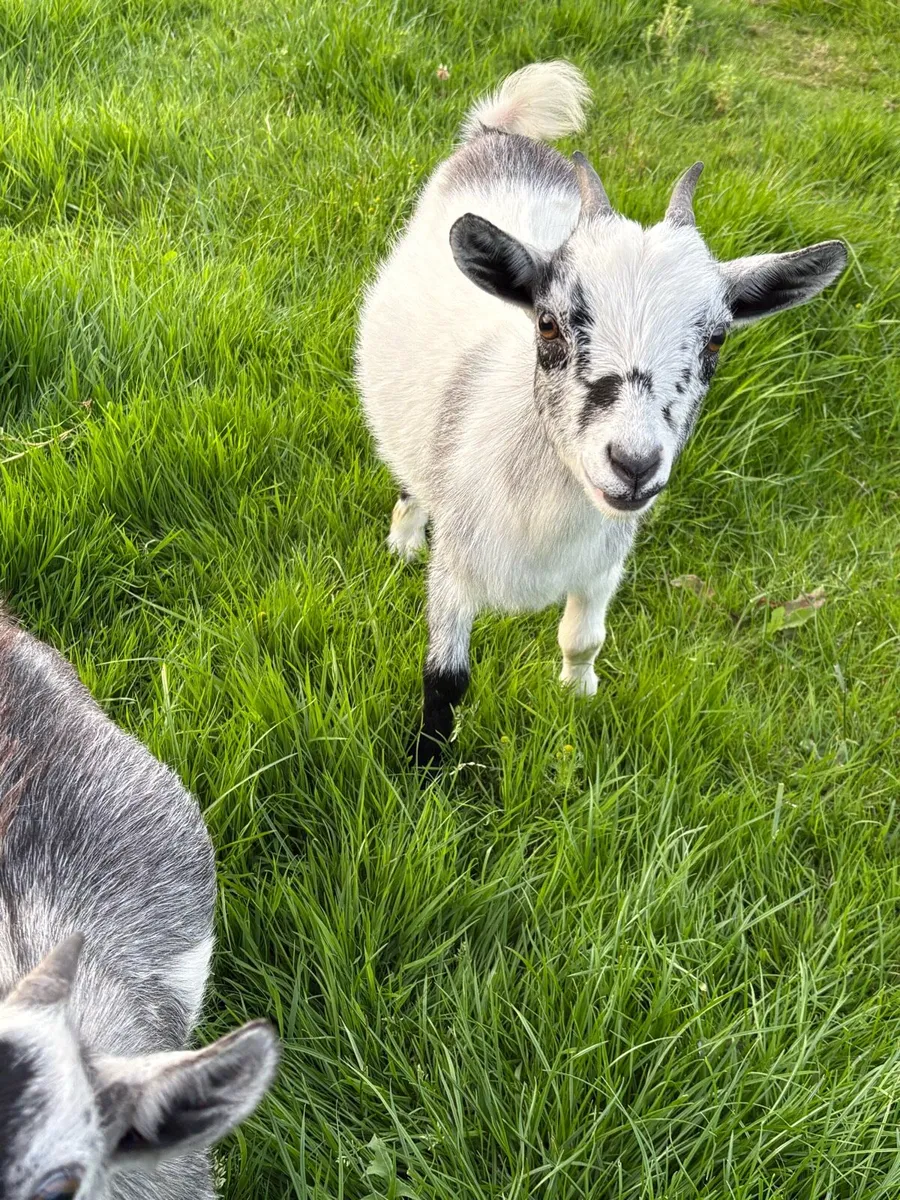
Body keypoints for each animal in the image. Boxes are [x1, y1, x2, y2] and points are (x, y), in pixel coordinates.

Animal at [355, 61, 848, 766]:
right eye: (549, 323)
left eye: (716, 341)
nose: (634, 463)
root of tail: (501, 135)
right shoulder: (455, 568)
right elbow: (446, 679)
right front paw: (427, 768)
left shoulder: (603, 562)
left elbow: (584, 639)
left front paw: (578, 696)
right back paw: (402, 540)